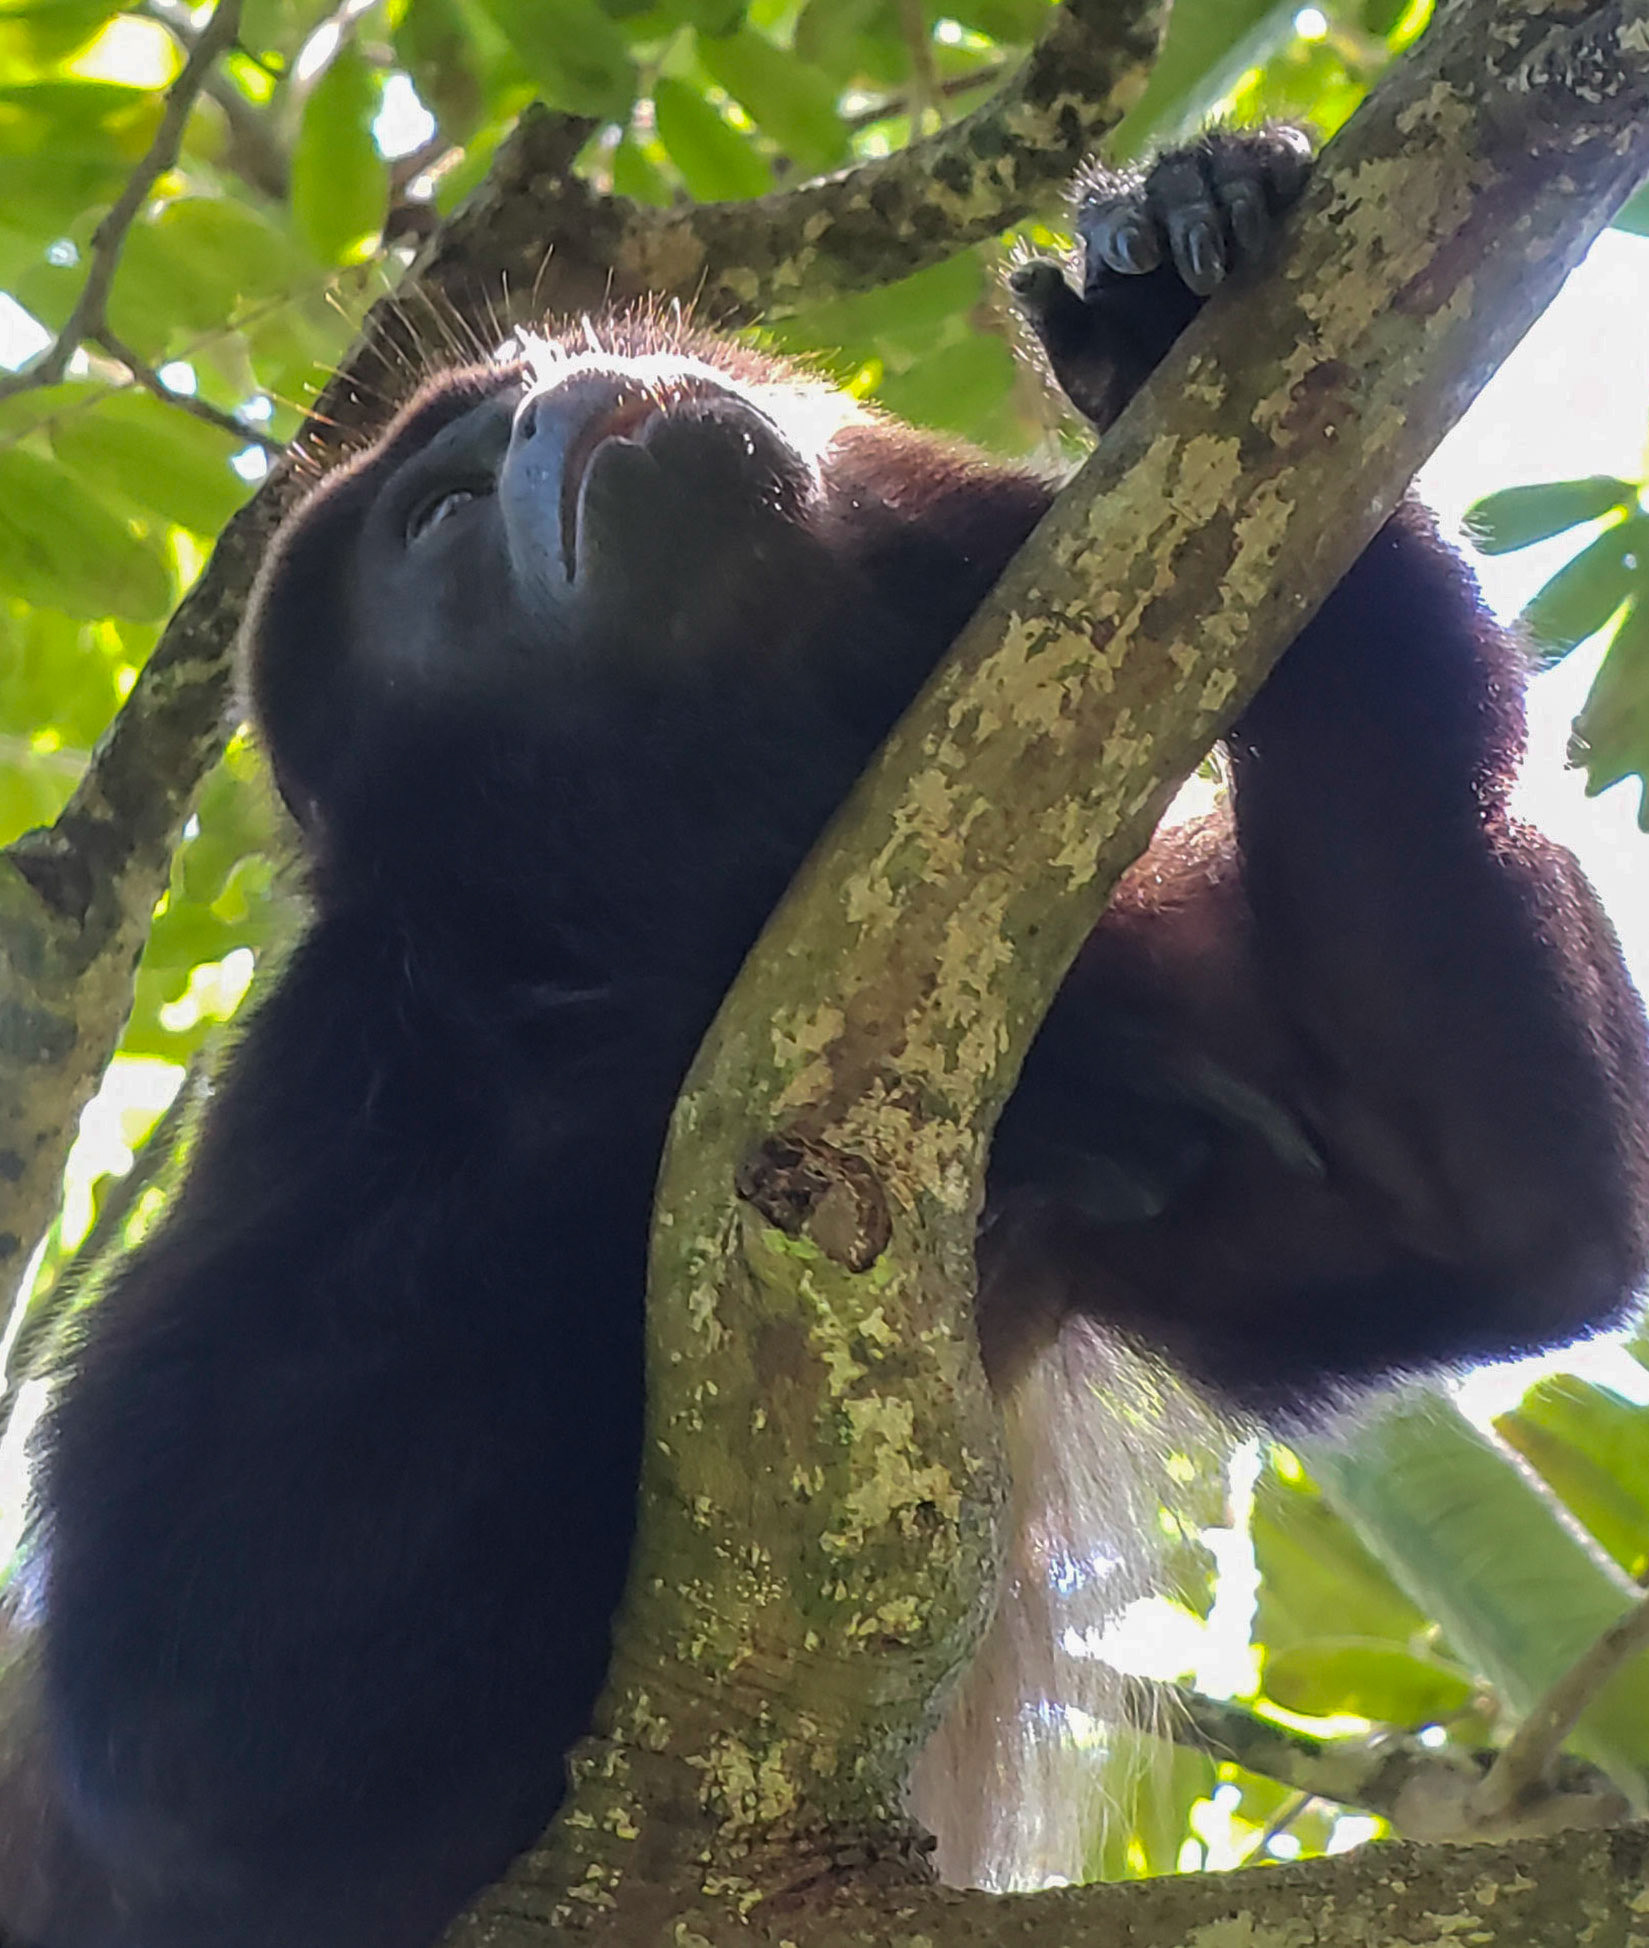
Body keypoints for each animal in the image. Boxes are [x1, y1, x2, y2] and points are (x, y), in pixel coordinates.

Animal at [3, 126, 1645, 1946]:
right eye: (436, 515)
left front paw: (1160, 282)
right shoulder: (335, 1065)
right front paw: (1038, 1097)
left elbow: (1502, 1221)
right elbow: (201, 1733)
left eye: (533, 379)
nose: (548, 397)